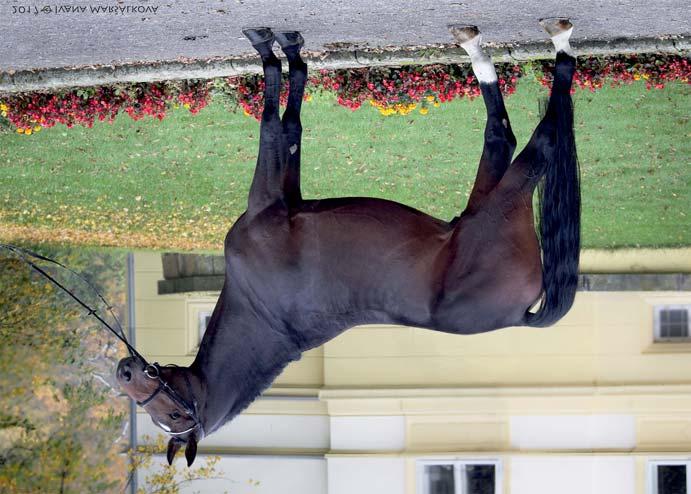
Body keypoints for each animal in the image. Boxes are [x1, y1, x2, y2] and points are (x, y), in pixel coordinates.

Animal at [117, 19, 580, 466]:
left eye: (172, 413)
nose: (124, 371)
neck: (264, 312)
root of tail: (522, 313)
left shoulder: (273, 197)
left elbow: (279, 121)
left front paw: (278, 49)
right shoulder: (278, 198)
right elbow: (284, 123)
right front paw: (284, 50)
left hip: (496, 202)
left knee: (535, 137)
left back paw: (546, 43)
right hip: (489, 201)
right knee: (510, 135)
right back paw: (509, 44)